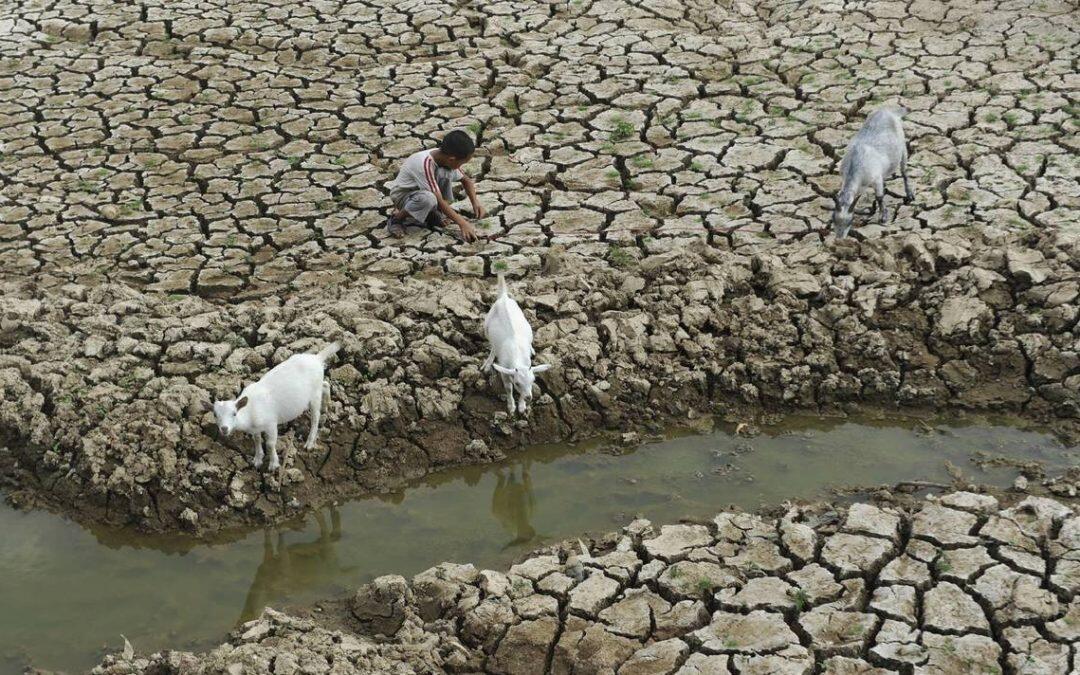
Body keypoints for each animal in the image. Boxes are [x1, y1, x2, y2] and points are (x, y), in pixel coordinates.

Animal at [481, 272, 548, 410]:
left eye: (533, 381)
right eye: (517, 383)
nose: (529, 398)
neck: (516, 355)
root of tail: (504, 297)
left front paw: (521, 406)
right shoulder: (505, 371)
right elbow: (508, 388)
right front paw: (511, 406)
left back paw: (532, 349)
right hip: (486, 328)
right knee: (492, 346)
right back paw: (488, 363)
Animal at [829, 104, 915, 240]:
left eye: (850, 221)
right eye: (833, 219)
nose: (839, 239)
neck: (855, 162)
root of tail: (889, 111)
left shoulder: (876, 178)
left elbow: (879, 197)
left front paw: (883, 217)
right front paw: (869, 211)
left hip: (902, 148)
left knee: (904, 171)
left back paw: (909, 194)